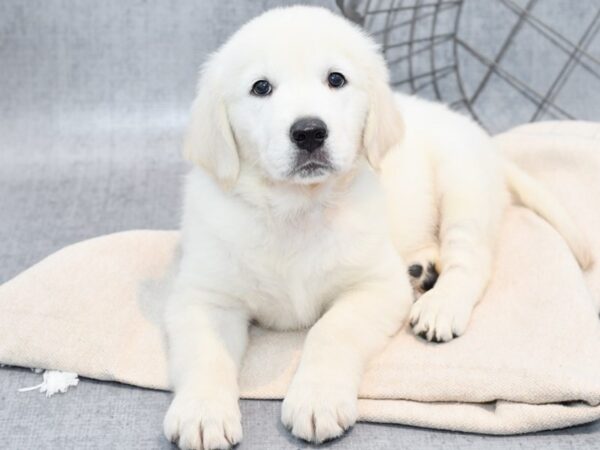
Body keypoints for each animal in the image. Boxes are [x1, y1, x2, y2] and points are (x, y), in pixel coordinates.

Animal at [164, 5, 592, 448]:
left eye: (336, 79)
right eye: (260, 87)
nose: (309, 132)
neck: (298, 207)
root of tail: (484, 140)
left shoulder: (375, 287)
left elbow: (331, 331)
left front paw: (317, 400)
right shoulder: (204, 296)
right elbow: (207, 352)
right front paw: (203, 413)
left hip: (463, 184)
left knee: (472, 260)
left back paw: (441, 304)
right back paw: (421, 270)